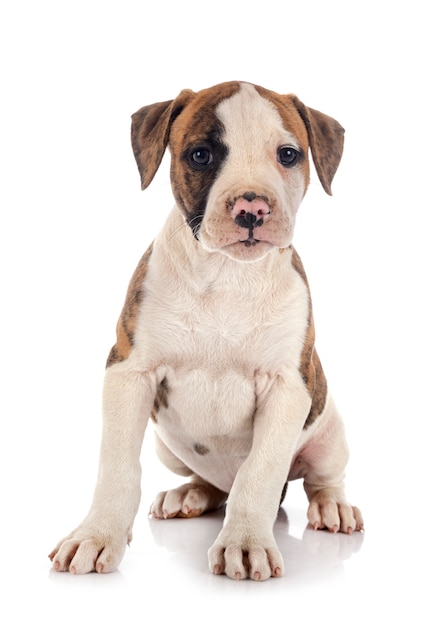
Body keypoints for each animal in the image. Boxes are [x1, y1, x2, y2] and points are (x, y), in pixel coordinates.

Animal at [51, 80, 364, 576]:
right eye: (201, 155)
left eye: (288, 154)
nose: (252, 208)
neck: (228, 275)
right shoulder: (128, 372)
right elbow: (117, 466)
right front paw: (96, 535)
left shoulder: (287, 388)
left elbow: (260, 472)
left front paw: (246, 542)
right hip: (167, 446)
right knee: (211, 484)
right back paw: (189, 495)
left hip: (329, 428)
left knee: (321, 477)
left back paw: (332, 506)